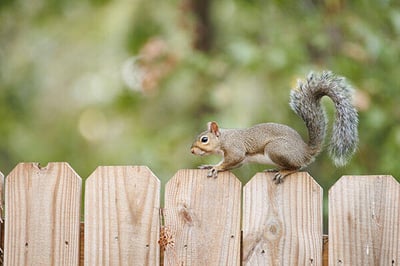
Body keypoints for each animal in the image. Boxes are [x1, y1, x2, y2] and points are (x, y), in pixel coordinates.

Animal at [191, 70, 360, 183]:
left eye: (204, 139)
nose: (192, 151)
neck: (223, 138)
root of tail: (305, 151)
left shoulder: (235, 149)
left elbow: (232, 159)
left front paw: (216, 168)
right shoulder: (240, 159)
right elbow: (233, 164)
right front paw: (211, 165)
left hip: (276, 149)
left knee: (297, 167)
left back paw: (284, 172)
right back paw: (276, 169)